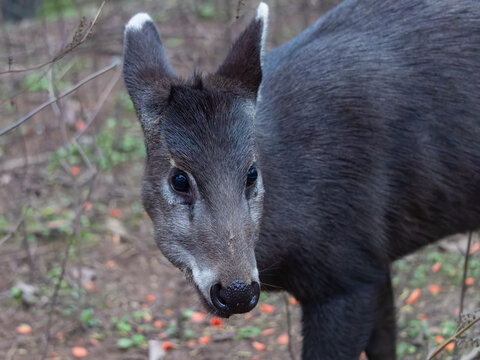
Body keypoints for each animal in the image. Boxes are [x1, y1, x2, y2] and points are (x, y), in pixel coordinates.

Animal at [123, 1, 480, 358]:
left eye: (251, 172)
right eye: (179, 179)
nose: (237, 292)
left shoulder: (346, 270)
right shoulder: (373, 264)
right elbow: (385, 342)